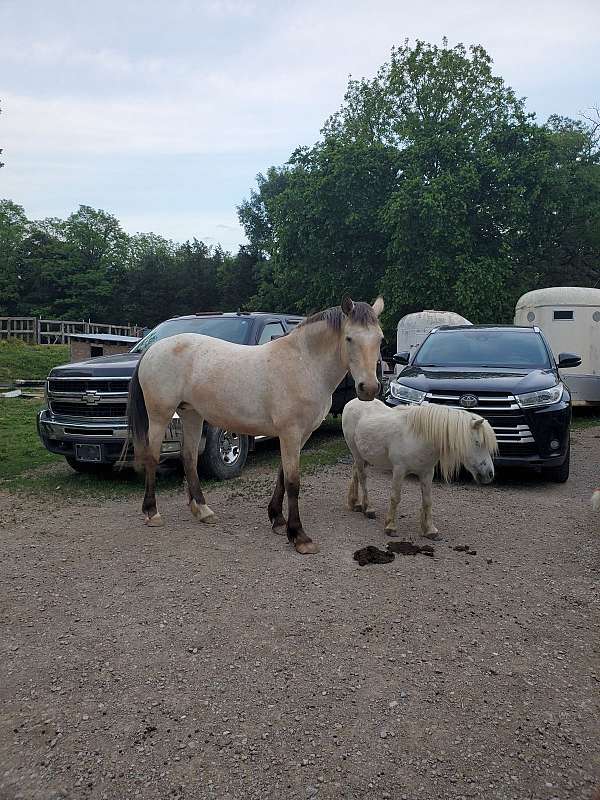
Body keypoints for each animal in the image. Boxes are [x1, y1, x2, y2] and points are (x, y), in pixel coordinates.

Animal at [126, 296, 384, 554]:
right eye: (349, 338)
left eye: (380, 338)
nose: (369, 388)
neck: (304, 364)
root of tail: (152, 349)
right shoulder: (290, 433)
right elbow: (293, 482)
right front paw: (299, 536)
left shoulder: (299, 435)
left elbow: (282, 475)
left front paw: (277, 519)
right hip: (159, 416)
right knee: (152, 457)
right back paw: (152, 512)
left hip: (191, 415)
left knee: (188, 458)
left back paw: (203, 511)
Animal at [342, 398, 497, 539]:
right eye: (477, 442)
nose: (489, 474)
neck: (419, 437)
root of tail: (352, 402)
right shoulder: (399, 470)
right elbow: (395, 497)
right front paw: (390, 527)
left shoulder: (427, 473)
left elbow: (427, 500)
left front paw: (430, 530)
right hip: (357, 454)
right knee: (362, 478)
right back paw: (368, 508)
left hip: (363, 456)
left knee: (356, 472)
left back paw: (355, 503)